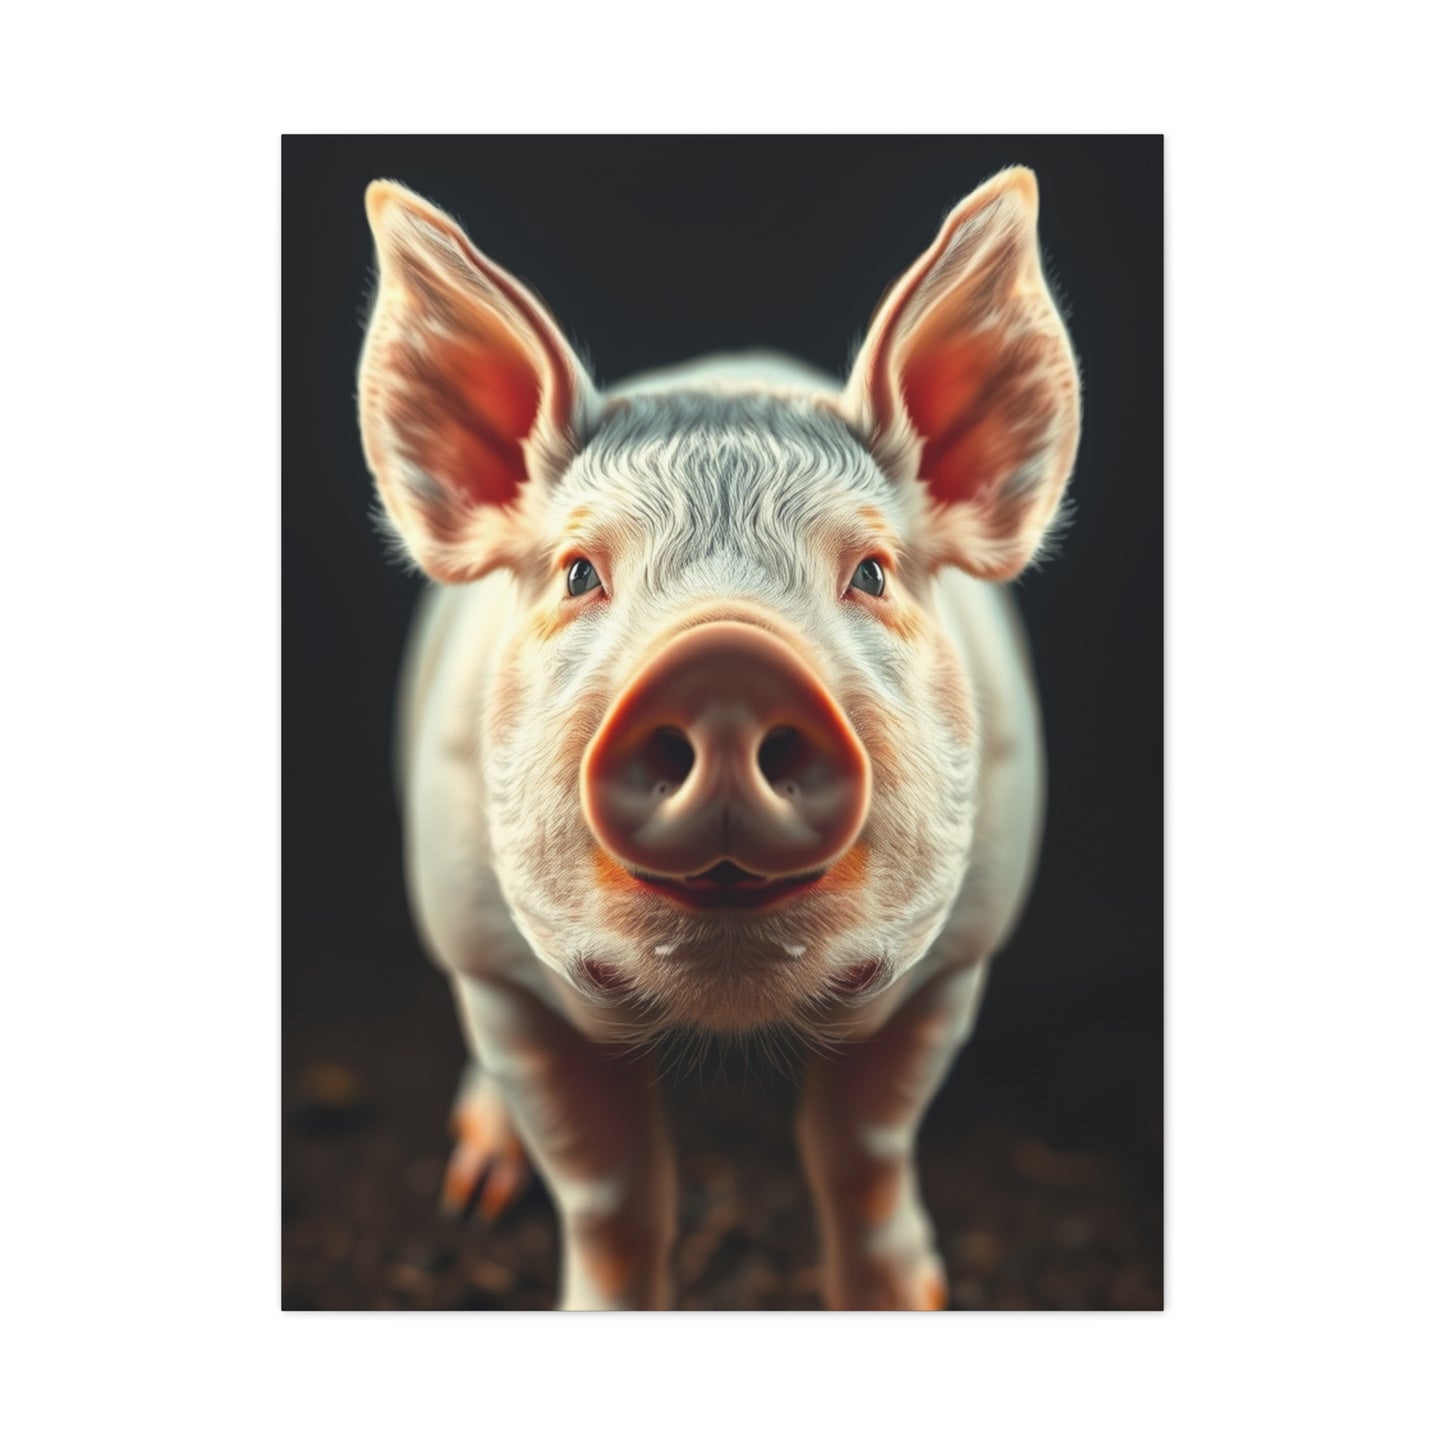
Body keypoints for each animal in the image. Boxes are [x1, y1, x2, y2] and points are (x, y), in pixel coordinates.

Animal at [356, 165, 1081, 1310]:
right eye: (579, 573)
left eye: (871, 571)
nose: (727, 665)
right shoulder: (496, 971)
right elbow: (610, 1190)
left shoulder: (955, 956)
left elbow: (860, 1147)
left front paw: (909, 1300)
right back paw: (476, 1181)